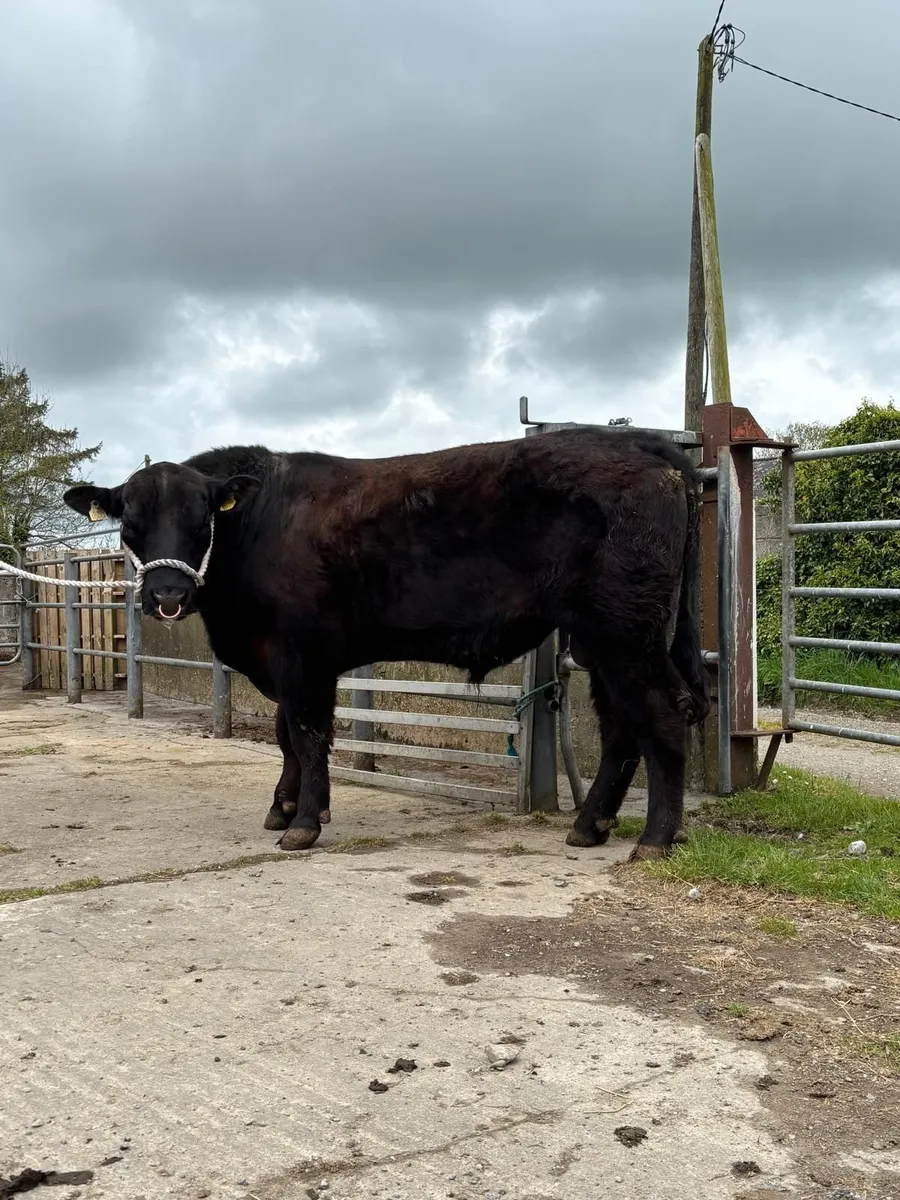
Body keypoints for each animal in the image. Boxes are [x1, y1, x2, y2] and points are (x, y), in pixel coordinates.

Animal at [63, 429, 708, 859]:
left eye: (203, 520)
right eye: (129, 525)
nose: (167, 594)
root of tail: (642, 445)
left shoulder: (300, 654)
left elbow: (306, 734)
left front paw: (303, 823)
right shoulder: (287, 661)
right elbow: (286, 734)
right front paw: (285, 807)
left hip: (626, 634)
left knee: (662, 715)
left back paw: (655, 839)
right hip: (602, 640)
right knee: (621, 726)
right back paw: (591, 826)